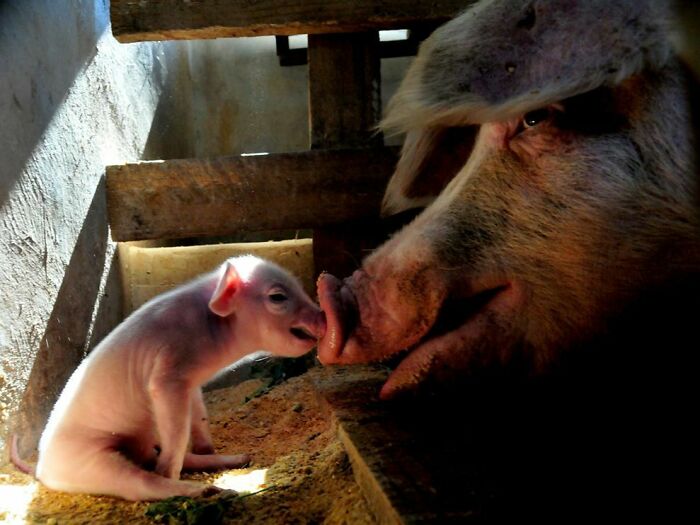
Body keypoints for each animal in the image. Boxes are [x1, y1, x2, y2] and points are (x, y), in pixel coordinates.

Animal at [12, 255, 325, 501]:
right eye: (278, 297)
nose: (323, 316)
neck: (210, 329)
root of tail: (40, 468)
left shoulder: (191, 383)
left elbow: (198, 416)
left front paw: (209, 447)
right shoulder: (168, 374)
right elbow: (176, 429)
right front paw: (177, 474)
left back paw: (239, 458)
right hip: (88, 461)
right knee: (139, 482)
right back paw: (209, 490)